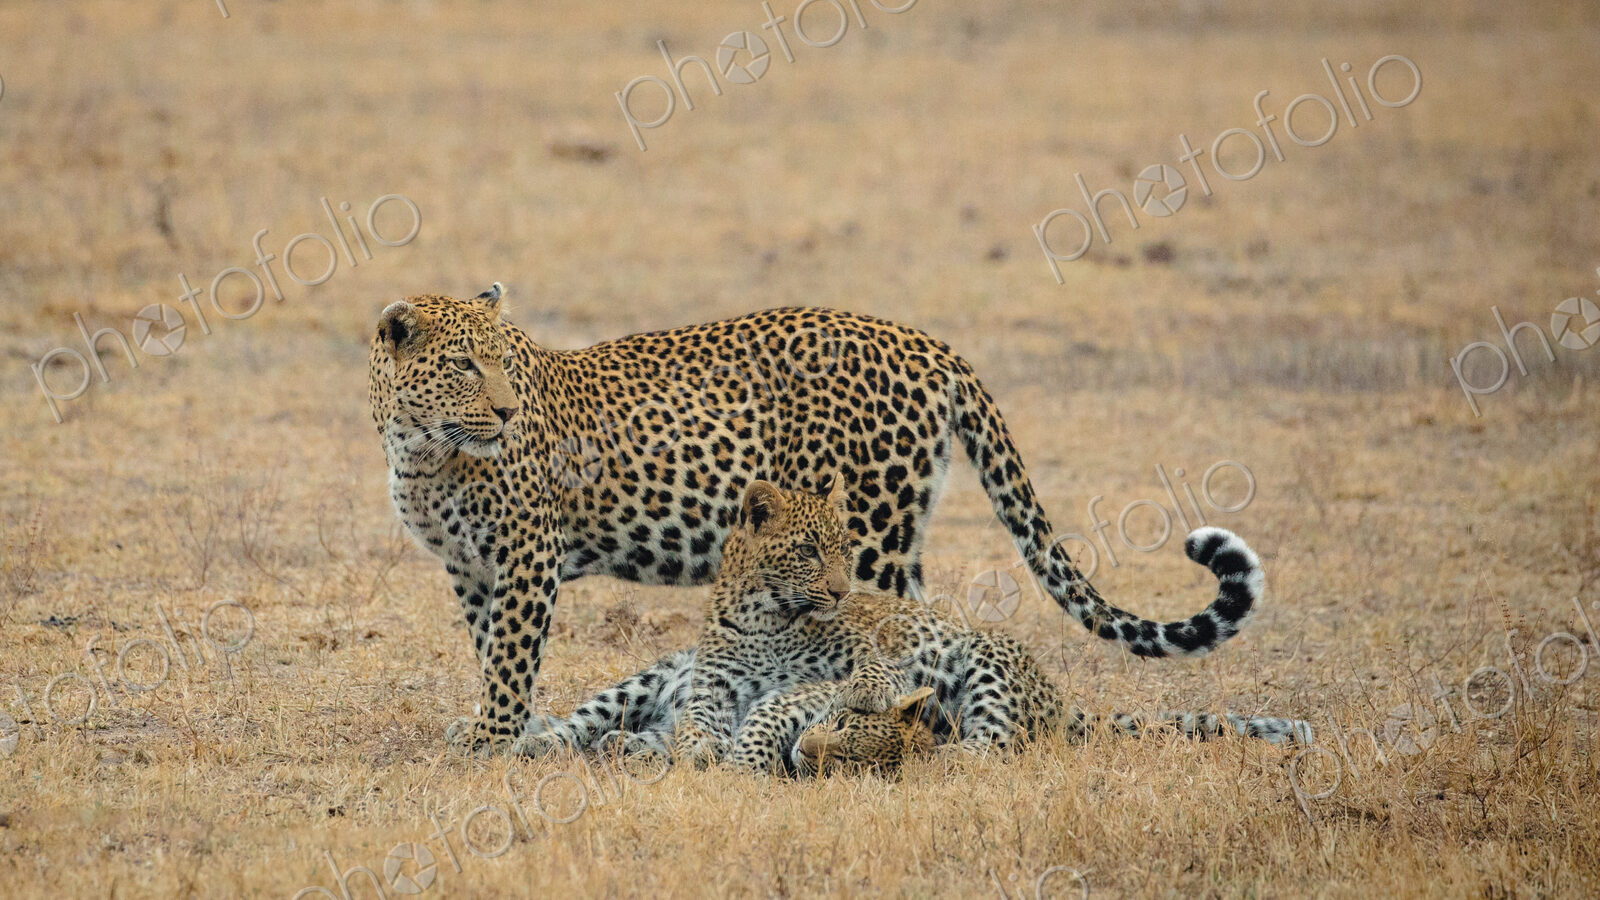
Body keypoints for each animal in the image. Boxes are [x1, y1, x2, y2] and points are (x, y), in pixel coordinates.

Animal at [369, 284, 1265, 754]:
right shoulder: (471, 569)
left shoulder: (527, 556)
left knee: (896, 639)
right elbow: (491, 649)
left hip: (867, 535)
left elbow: (511, 657)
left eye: (505, 361)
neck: (421, 449)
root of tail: (929, 343)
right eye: (464, 364)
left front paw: (494, 740)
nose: (506, 412)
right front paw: (507, 729)